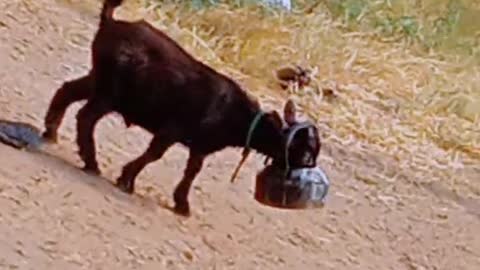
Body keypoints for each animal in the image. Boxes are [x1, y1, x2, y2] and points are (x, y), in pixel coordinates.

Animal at [41, 0, 318, 216]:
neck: (235, 114)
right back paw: (91, 162)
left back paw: (51, 133)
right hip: (109, 92)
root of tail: (110, 23)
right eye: (305, 149)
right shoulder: (172, 129)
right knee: (86, 117)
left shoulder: (200, 146)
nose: (308, 168)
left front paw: (182, 204)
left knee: (67, 91)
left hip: (97, 79)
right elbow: (154, 154)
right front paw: (127, 180)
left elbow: (192, 171)